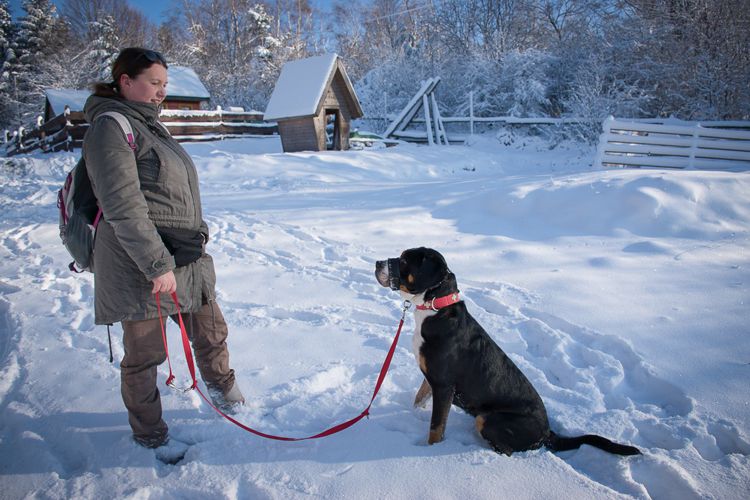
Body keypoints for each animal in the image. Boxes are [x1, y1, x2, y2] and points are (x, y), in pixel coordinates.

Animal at [376, 246, 640, 458]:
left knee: (507, 450)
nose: (378, 263)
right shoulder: (432, 380)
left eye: (404, 260)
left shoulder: (443, 385)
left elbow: (436, 427)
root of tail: (547, 431)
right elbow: (419, 398)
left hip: (487, 419)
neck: (435, 309)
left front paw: (430, 447)